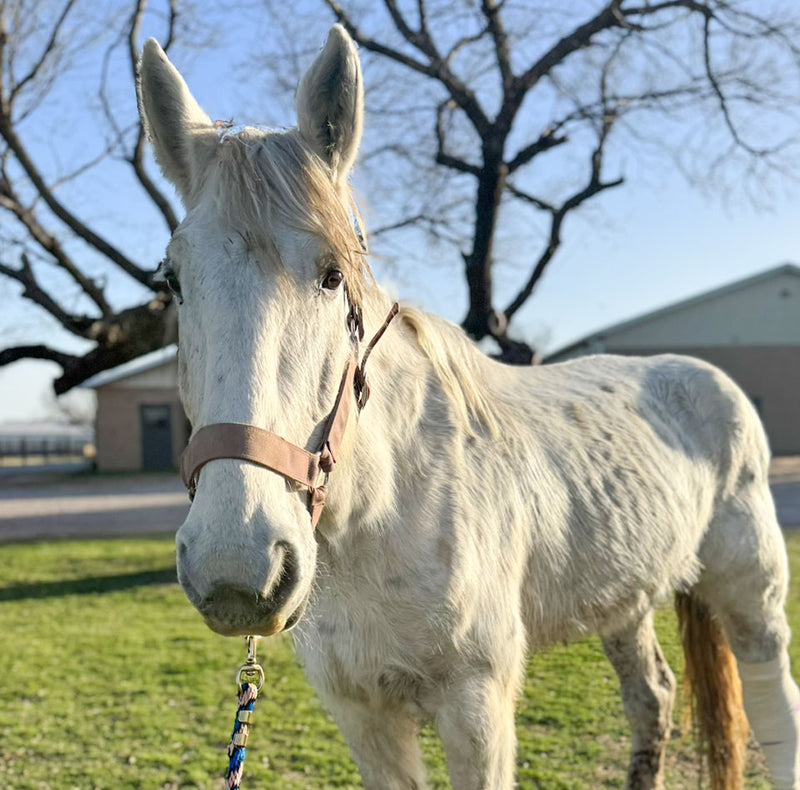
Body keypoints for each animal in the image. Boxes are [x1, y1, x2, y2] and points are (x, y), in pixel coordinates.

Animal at [138, 25, 800, 790]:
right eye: (173, 279)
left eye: (332, 276)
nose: (238, 569)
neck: (385, 511)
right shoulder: (362, 714)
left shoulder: (475, 706)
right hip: (624, 599)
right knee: (653, 696)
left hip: (752, 598)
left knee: (776, 708)